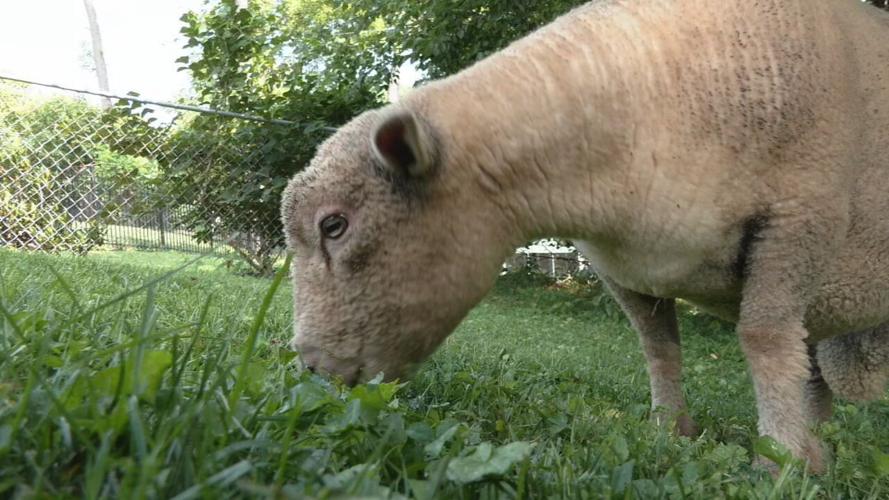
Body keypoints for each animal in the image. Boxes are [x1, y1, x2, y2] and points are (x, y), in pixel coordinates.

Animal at [281, 0, 889, 472]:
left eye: (334, 225)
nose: (310, 366)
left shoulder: (801, 221)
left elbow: (764, 340)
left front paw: (780, 461)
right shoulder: (626, 265)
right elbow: (658, 348)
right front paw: (670, 430)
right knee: (815, 369)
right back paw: (823, 443)